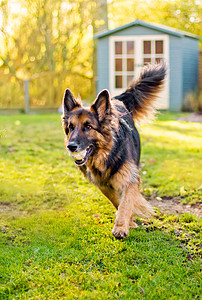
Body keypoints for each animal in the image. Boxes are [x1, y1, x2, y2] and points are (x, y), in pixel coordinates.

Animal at [61, 62, 166, 239]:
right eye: (71, 127)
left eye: (88, 127)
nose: (71, 146)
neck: (106, 156)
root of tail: (115, 99)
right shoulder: (102, 184)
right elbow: (117, 201)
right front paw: (129, 221)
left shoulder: (130, 178)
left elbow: (126, 203)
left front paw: (122, 227)